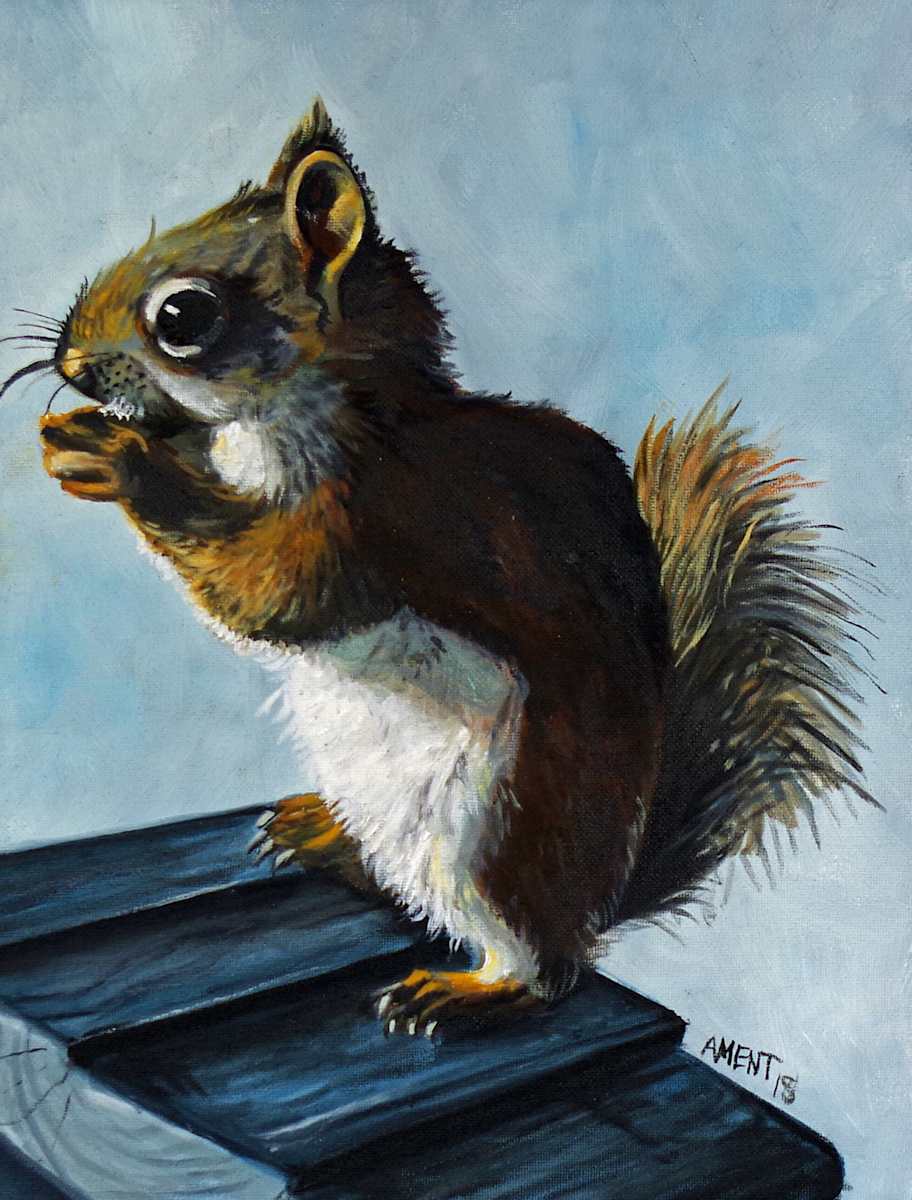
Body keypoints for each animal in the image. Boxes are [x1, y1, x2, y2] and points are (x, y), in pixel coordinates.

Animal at [25, 98, 873, 1035]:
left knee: (542, 966)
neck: (333, 410)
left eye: (182, 317)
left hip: (502, 835)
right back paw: (320, 833)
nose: (67, 364)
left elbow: (276, 588)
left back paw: (469, 990)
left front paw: (122, 460)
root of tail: (602, 898)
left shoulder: (386, 512)